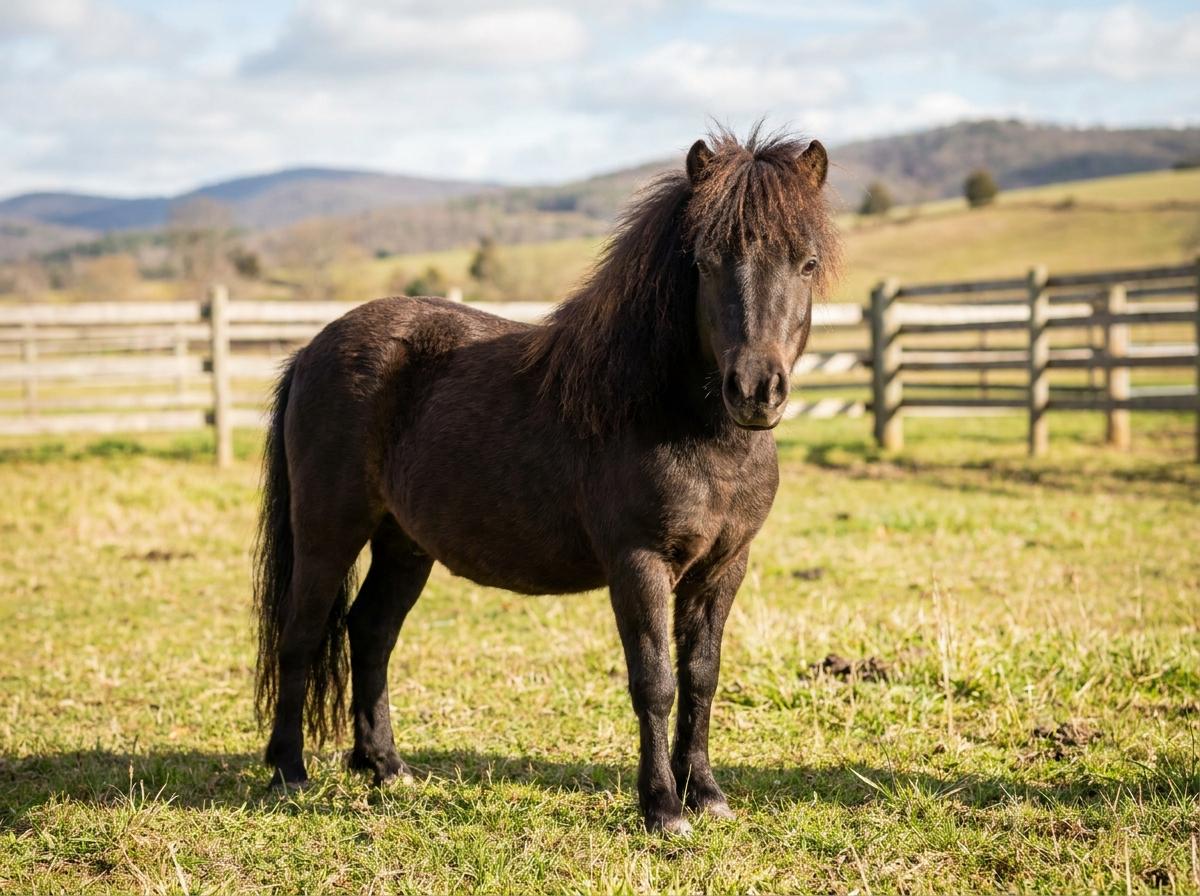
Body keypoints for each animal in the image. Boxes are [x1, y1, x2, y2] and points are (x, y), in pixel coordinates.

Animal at [253, 127, 840, 834]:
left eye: (806, 263)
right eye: (705, 262)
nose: (755, 390)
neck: (673, 419)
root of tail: (312, 349)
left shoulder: (725, 566)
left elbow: (701, 676)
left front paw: (706, 793)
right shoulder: (638, 564)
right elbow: (655, 682)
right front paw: (662, 808)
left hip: (404, 543)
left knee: (369, 633)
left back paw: (387, 768)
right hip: (327, 533)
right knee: (302, 636)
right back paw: (289, 772)